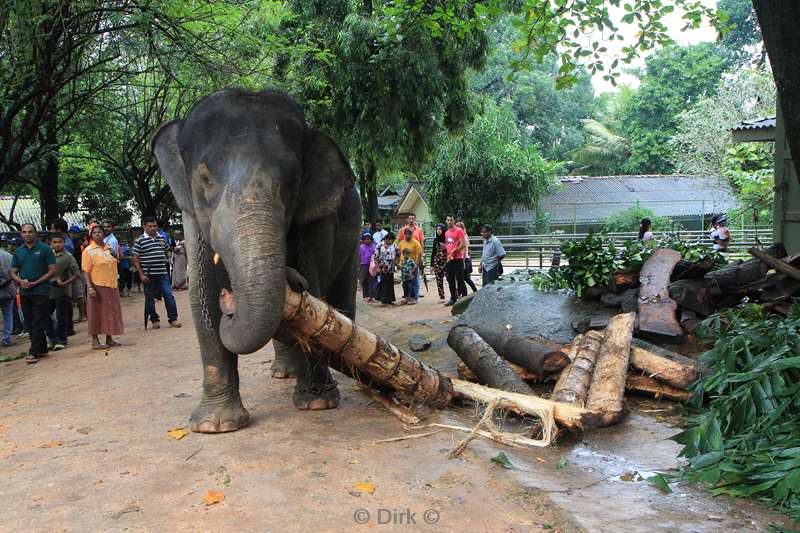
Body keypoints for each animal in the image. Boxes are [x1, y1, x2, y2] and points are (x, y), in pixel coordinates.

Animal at [149, 89, 360, 432]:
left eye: (293, 182)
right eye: (204, 180)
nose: (290, 277)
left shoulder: (317, 219)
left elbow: (315, 285)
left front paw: (317, 403)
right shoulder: (190, 216)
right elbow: (202, 296)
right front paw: (214, 426)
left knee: (342, 296)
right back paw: (284, 373)